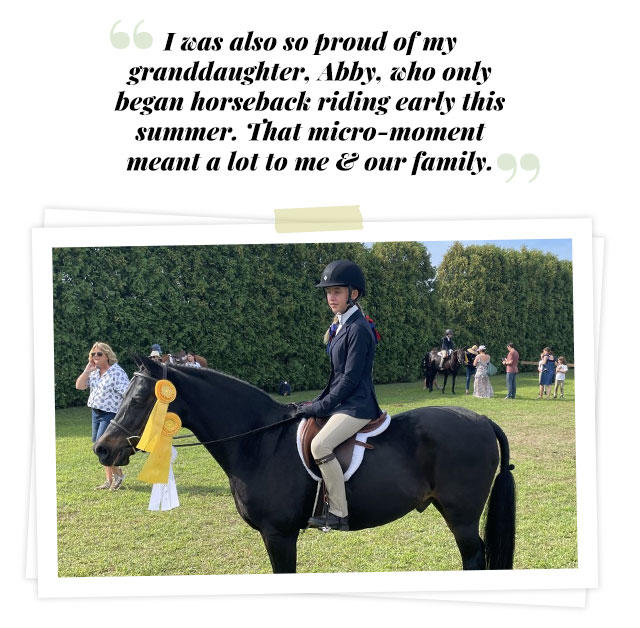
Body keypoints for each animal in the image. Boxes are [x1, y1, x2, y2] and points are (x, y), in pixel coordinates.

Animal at [95, 356, 516, 572]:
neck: (257, 442)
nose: (102, 449)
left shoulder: (278, 535)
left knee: (474, 557)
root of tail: (482, 419)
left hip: (461, 517)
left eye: (138, 400)